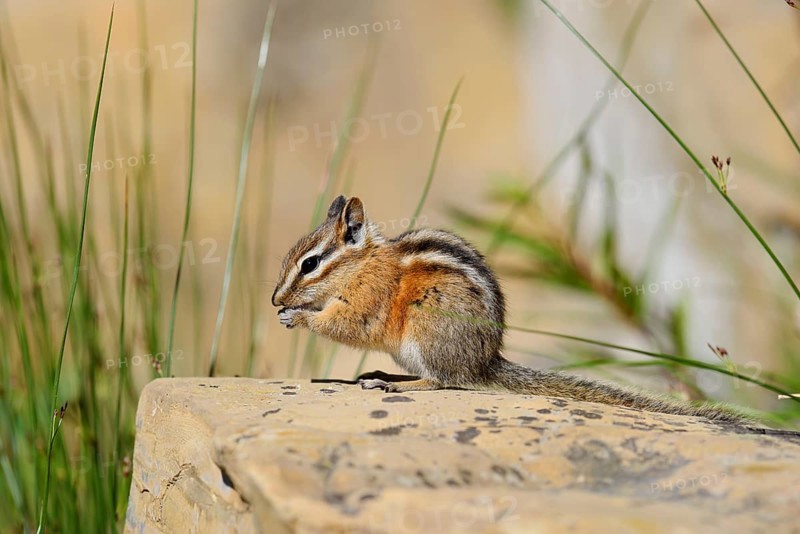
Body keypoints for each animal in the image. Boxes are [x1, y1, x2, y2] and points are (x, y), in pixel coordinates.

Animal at [272, 195, 748, 425]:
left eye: (310, 264)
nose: (275, 300)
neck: (363, 263)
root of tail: (486, 363)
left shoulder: (367, 301)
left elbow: (349, 326)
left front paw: (299, 317)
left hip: (428, 331)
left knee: (445, 381)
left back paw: (393, 384)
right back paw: (384, 374)